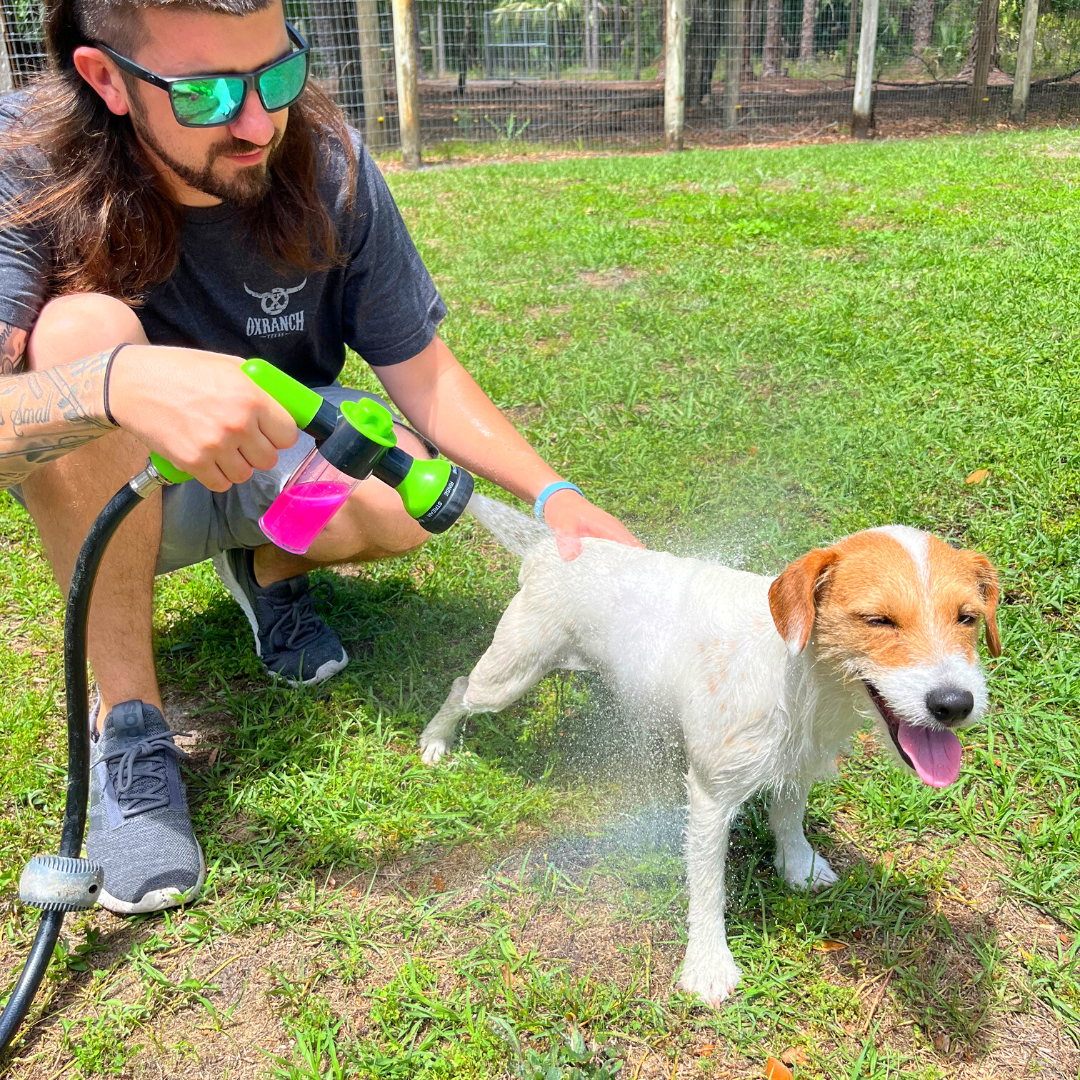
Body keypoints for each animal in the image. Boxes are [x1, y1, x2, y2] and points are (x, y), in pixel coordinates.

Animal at [416, 496, 997, 1002]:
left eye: (967, 618)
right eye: (878, 620)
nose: (954, 703)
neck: (800, 680)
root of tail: (546, 551)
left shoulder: (798, 765)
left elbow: (789, 817)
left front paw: (798, 866)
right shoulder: (711, 798)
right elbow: (708, 885)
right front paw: (708, 965)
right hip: (508, 674)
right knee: (461, 686)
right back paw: (435, 741)